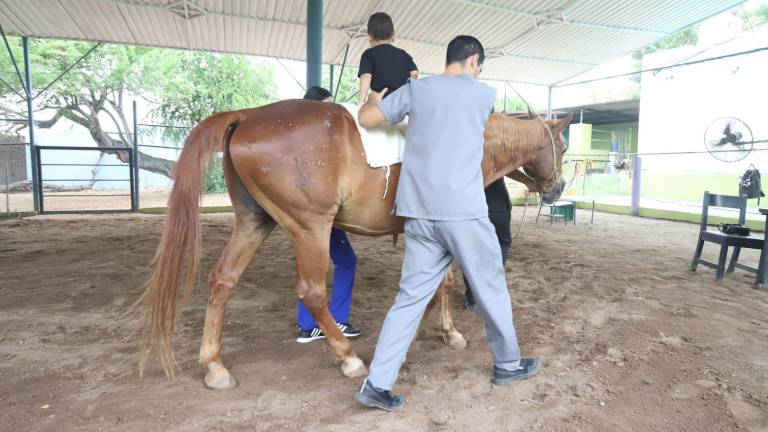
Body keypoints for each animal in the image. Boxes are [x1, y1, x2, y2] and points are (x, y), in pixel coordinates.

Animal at [140, 99, 568, 390]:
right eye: (561, 147)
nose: (558, 188)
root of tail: (247, 115)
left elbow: (439, 285)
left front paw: (437, 331)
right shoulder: (448, 226)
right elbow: (440, 285)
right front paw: (435, 333)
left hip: (255, 222)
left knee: (222, 280)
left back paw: (214, 365)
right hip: (309, 227)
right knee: (312, 291)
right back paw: (347, 357)